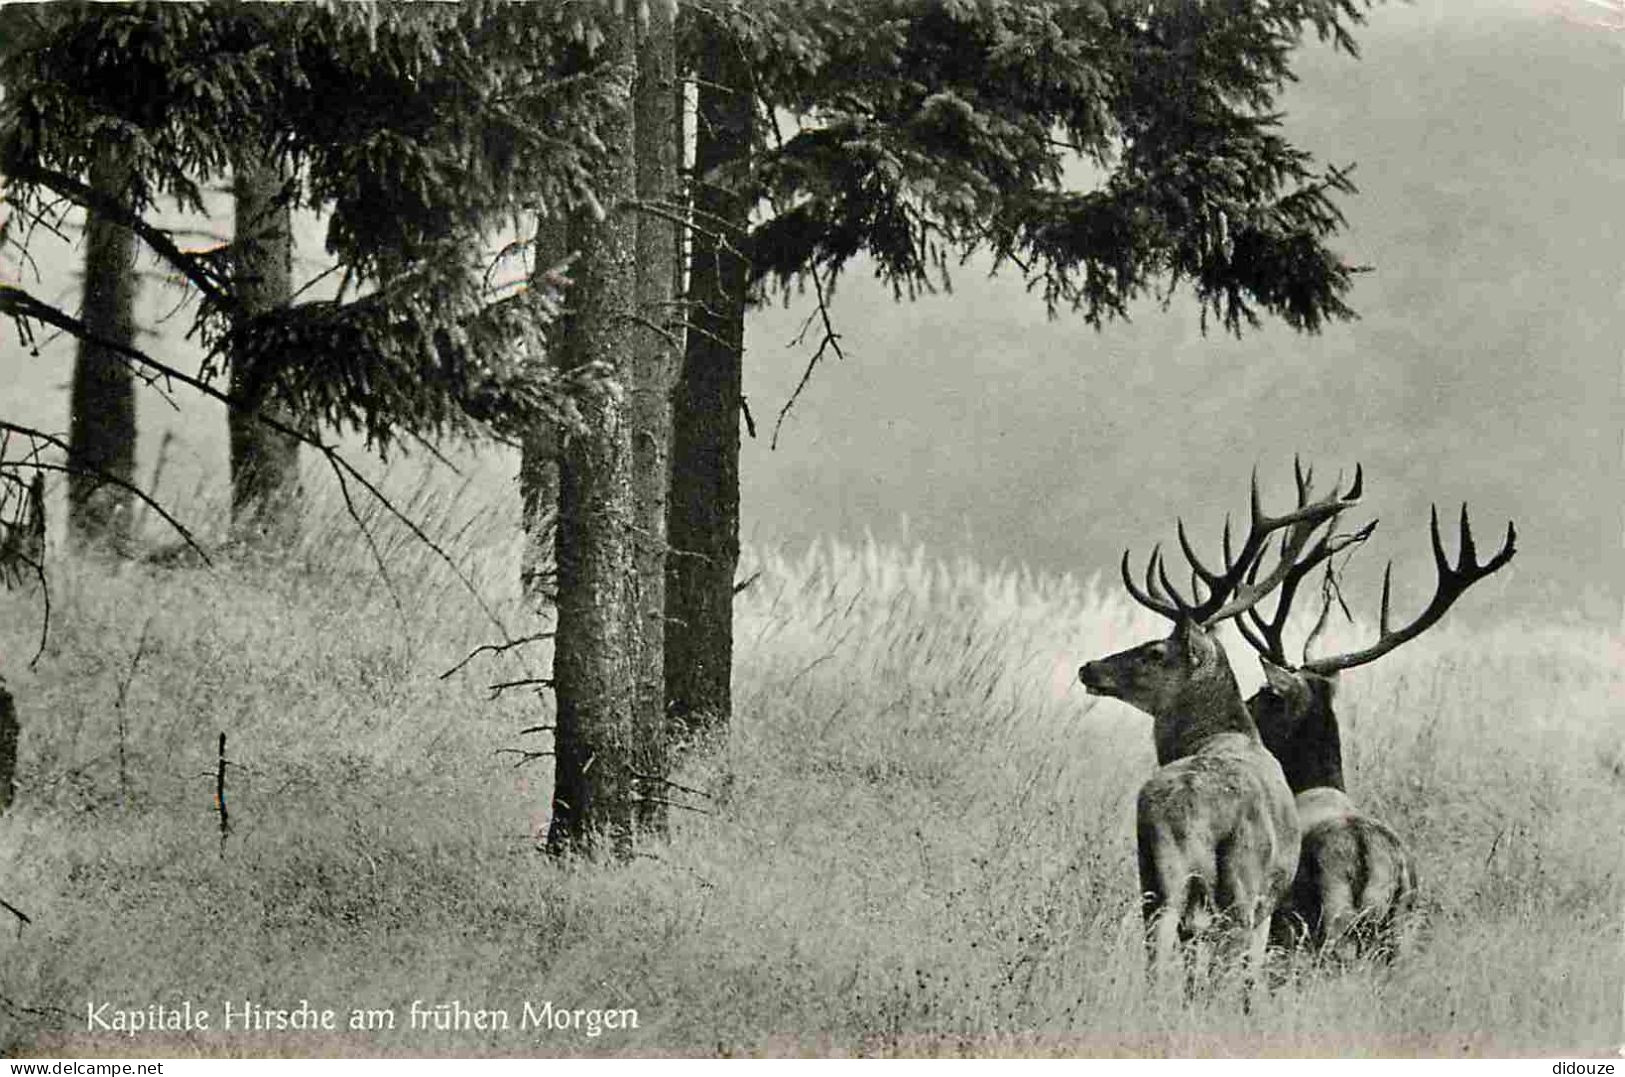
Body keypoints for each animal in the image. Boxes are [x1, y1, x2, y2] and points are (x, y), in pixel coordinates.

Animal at [1079, 458, 1371, 1000]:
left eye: (1154, 651)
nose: (1089, 667)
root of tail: (1192, 809)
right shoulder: (1269, 901)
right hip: (1240, 884)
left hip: (1160, 876)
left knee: (1163, 953)